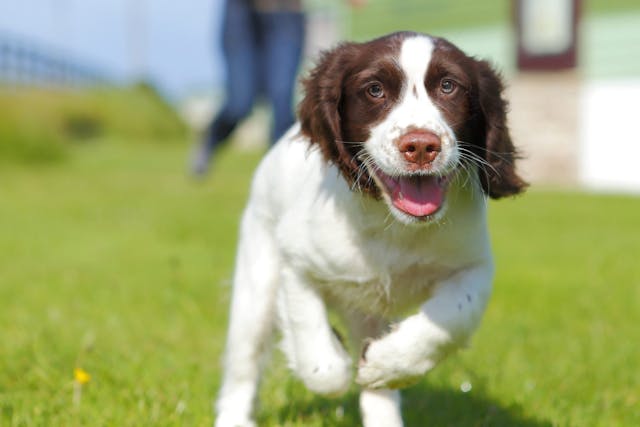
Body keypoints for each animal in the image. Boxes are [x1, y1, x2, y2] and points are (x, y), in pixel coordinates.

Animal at [214, 30, 524, 427]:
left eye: (449, 86)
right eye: (375, 89)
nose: (420, 146)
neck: (392, 223)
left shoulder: (473, 266)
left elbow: (453, 318)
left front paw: (386, 364)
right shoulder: (295, 262)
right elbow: (318, 357)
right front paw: (332, 359)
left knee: (379, 392)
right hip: (256, 284)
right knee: (243, 364)